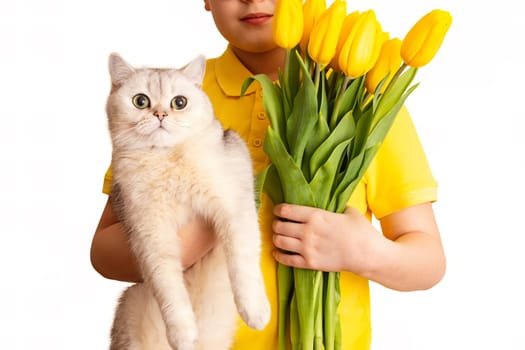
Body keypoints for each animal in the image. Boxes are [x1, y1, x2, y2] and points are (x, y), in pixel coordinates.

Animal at [106, 53, 270, 350]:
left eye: (179, 102)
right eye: (140, 101)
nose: (160, 114)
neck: (167, 159)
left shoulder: (235, 205)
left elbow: (243, 264)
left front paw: (255, 312)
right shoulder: (150, 235)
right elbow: (168, 287)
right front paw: (182, 334)